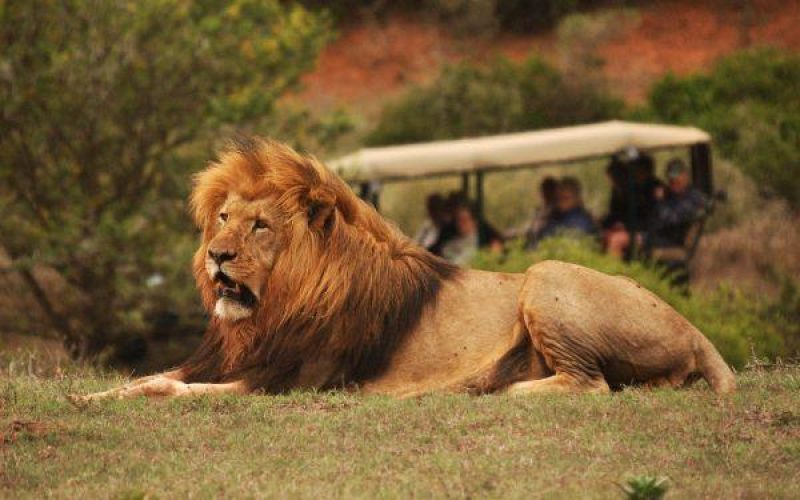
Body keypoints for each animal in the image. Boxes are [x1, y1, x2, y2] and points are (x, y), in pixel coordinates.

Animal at [77, 138, 735, 401]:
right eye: (222, 217)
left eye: (260, 226)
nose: (217, 254)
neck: (271, 310)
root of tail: (694, 328)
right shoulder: (225, 362)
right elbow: (146, 377)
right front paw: (90, 396)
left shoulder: (288, 381)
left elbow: (166, 387)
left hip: (546, 274)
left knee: (590, 384)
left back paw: (492, 388)